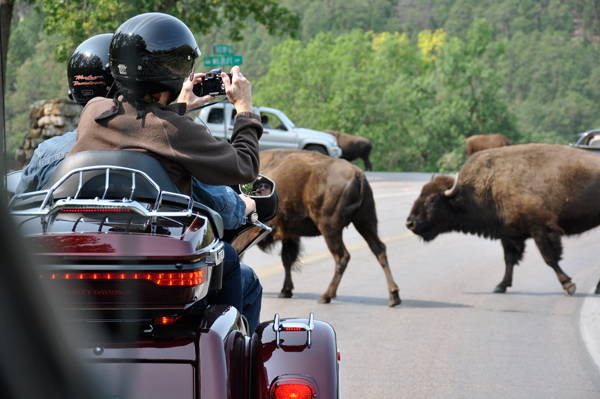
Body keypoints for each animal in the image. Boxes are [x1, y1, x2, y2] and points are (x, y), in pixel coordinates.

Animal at [232, 148, 400, 308]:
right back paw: (394, 296)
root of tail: (358, 174)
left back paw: (325, 296)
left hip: (330, 228)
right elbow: (287, 259)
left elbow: (243, 253)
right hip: (365, 222)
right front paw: (286, 291)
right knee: (379, 249)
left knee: (342, 256)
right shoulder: (289, 235)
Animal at [406, 144, 600, 296]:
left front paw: (569, 285)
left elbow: (549, 258)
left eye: (433, 200)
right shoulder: (509, 235)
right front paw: (500, 286)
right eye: (421, 193)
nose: (410, 223)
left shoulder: (540, 229)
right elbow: (509, 260)